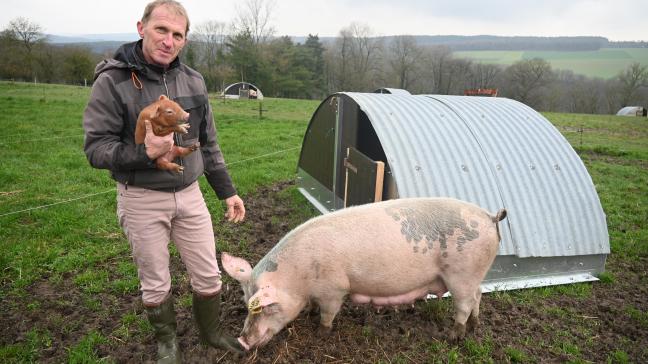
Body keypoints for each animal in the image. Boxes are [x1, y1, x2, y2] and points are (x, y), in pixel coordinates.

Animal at [221, 198, 506, 352]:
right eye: (245, 304)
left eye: (266, 307)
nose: (242, 341)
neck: (299, 277)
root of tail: (489, 217)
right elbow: (314, 307)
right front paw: (311, 314)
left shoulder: (335, 289)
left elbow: (328, 313)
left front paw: (321, 333)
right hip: (473, 275)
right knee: (478, 296)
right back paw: (474, 326)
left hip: (461, 273)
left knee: (464, 304)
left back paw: (453, 336)